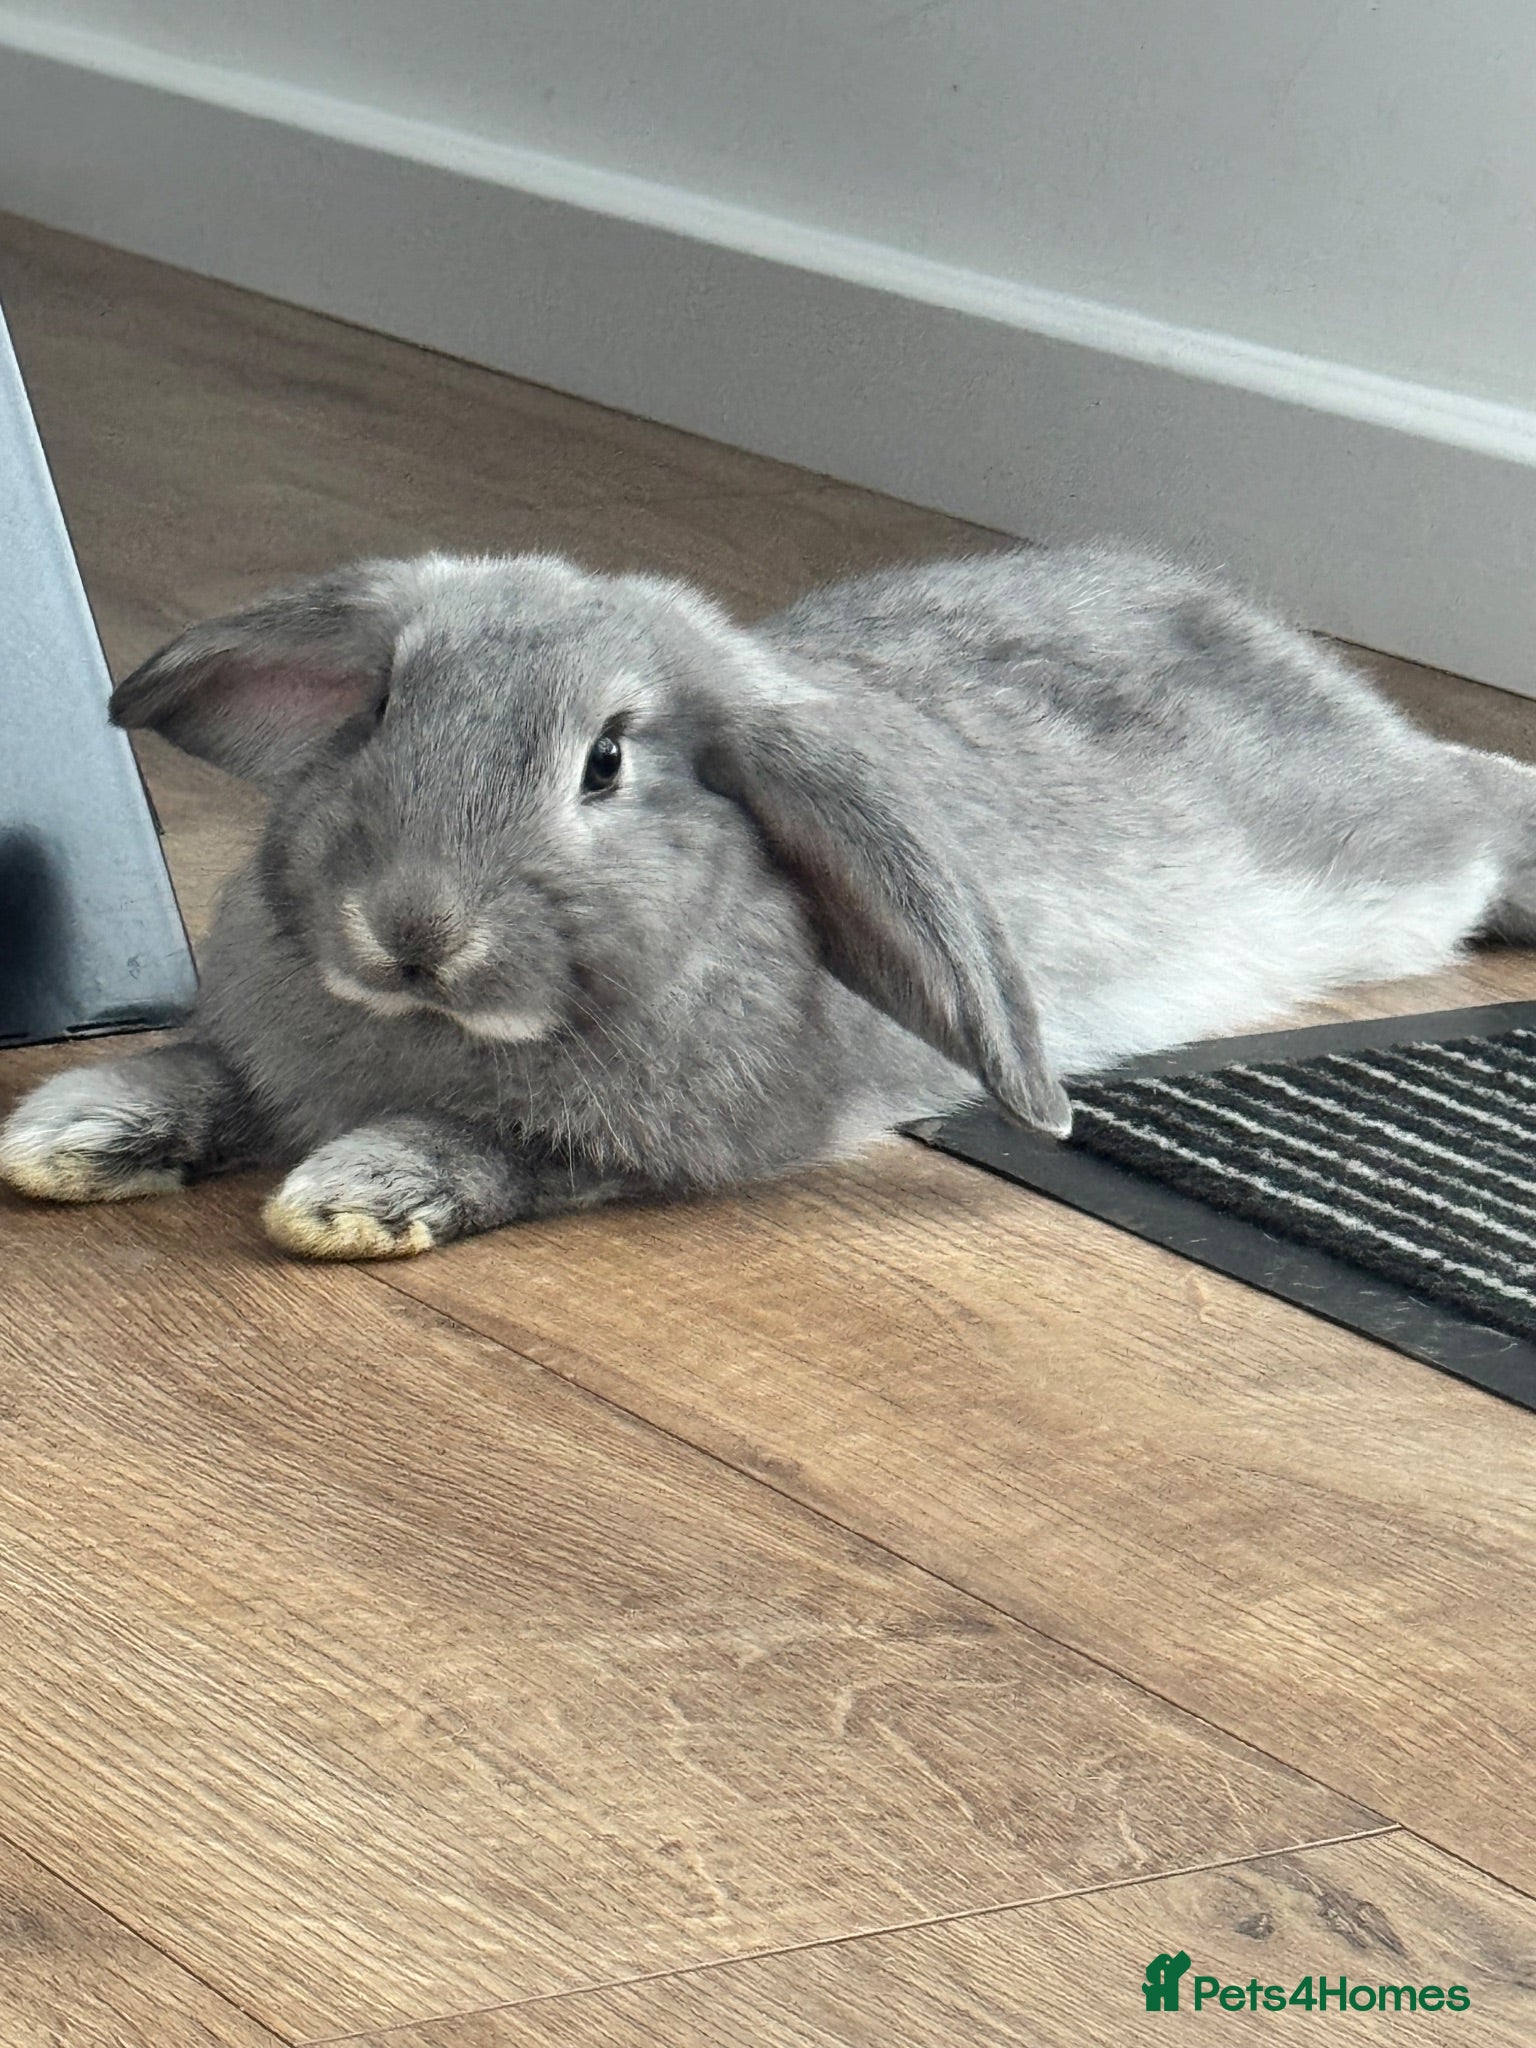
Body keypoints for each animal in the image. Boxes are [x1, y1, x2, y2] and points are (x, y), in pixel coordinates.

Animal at [3, 543, 1533, 1260]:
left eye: (606, 763)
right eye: (376, 710)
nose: (412, 929)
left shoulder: (652, 1146)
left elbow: (497, 1147)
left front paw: (359, 1193)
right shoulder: (260, 1049)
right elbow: (204, 1073)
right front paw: (71, 1131)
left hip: (1384, 843)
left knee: (1473, 798)